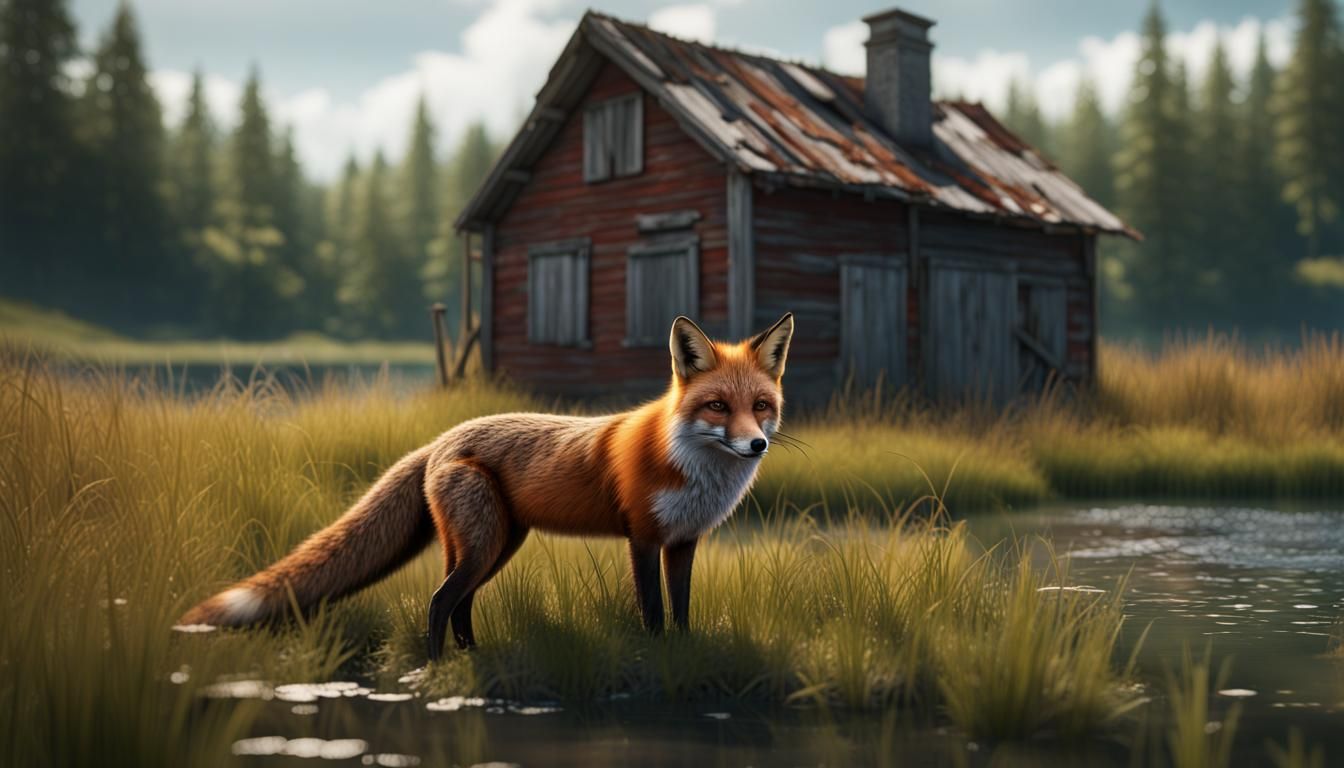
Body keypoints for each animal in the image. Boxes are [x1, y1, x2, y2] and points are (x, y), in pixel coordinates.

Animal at [178, 313, 794, 660]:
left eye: (761, 407)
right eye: (718, 407)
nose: (756, 446)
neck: (693, 468)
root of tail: (440, 439)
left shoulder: (683, 542)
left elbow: (682, 609)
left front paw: (684, 656)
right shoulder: (642, 539)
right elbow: (653, 612)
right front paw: (659, 657)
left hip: (494, 545)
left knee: (460, 604)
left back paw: (474, 660)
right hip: (484, 545)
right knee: (438, 601)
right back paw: (438, 670)